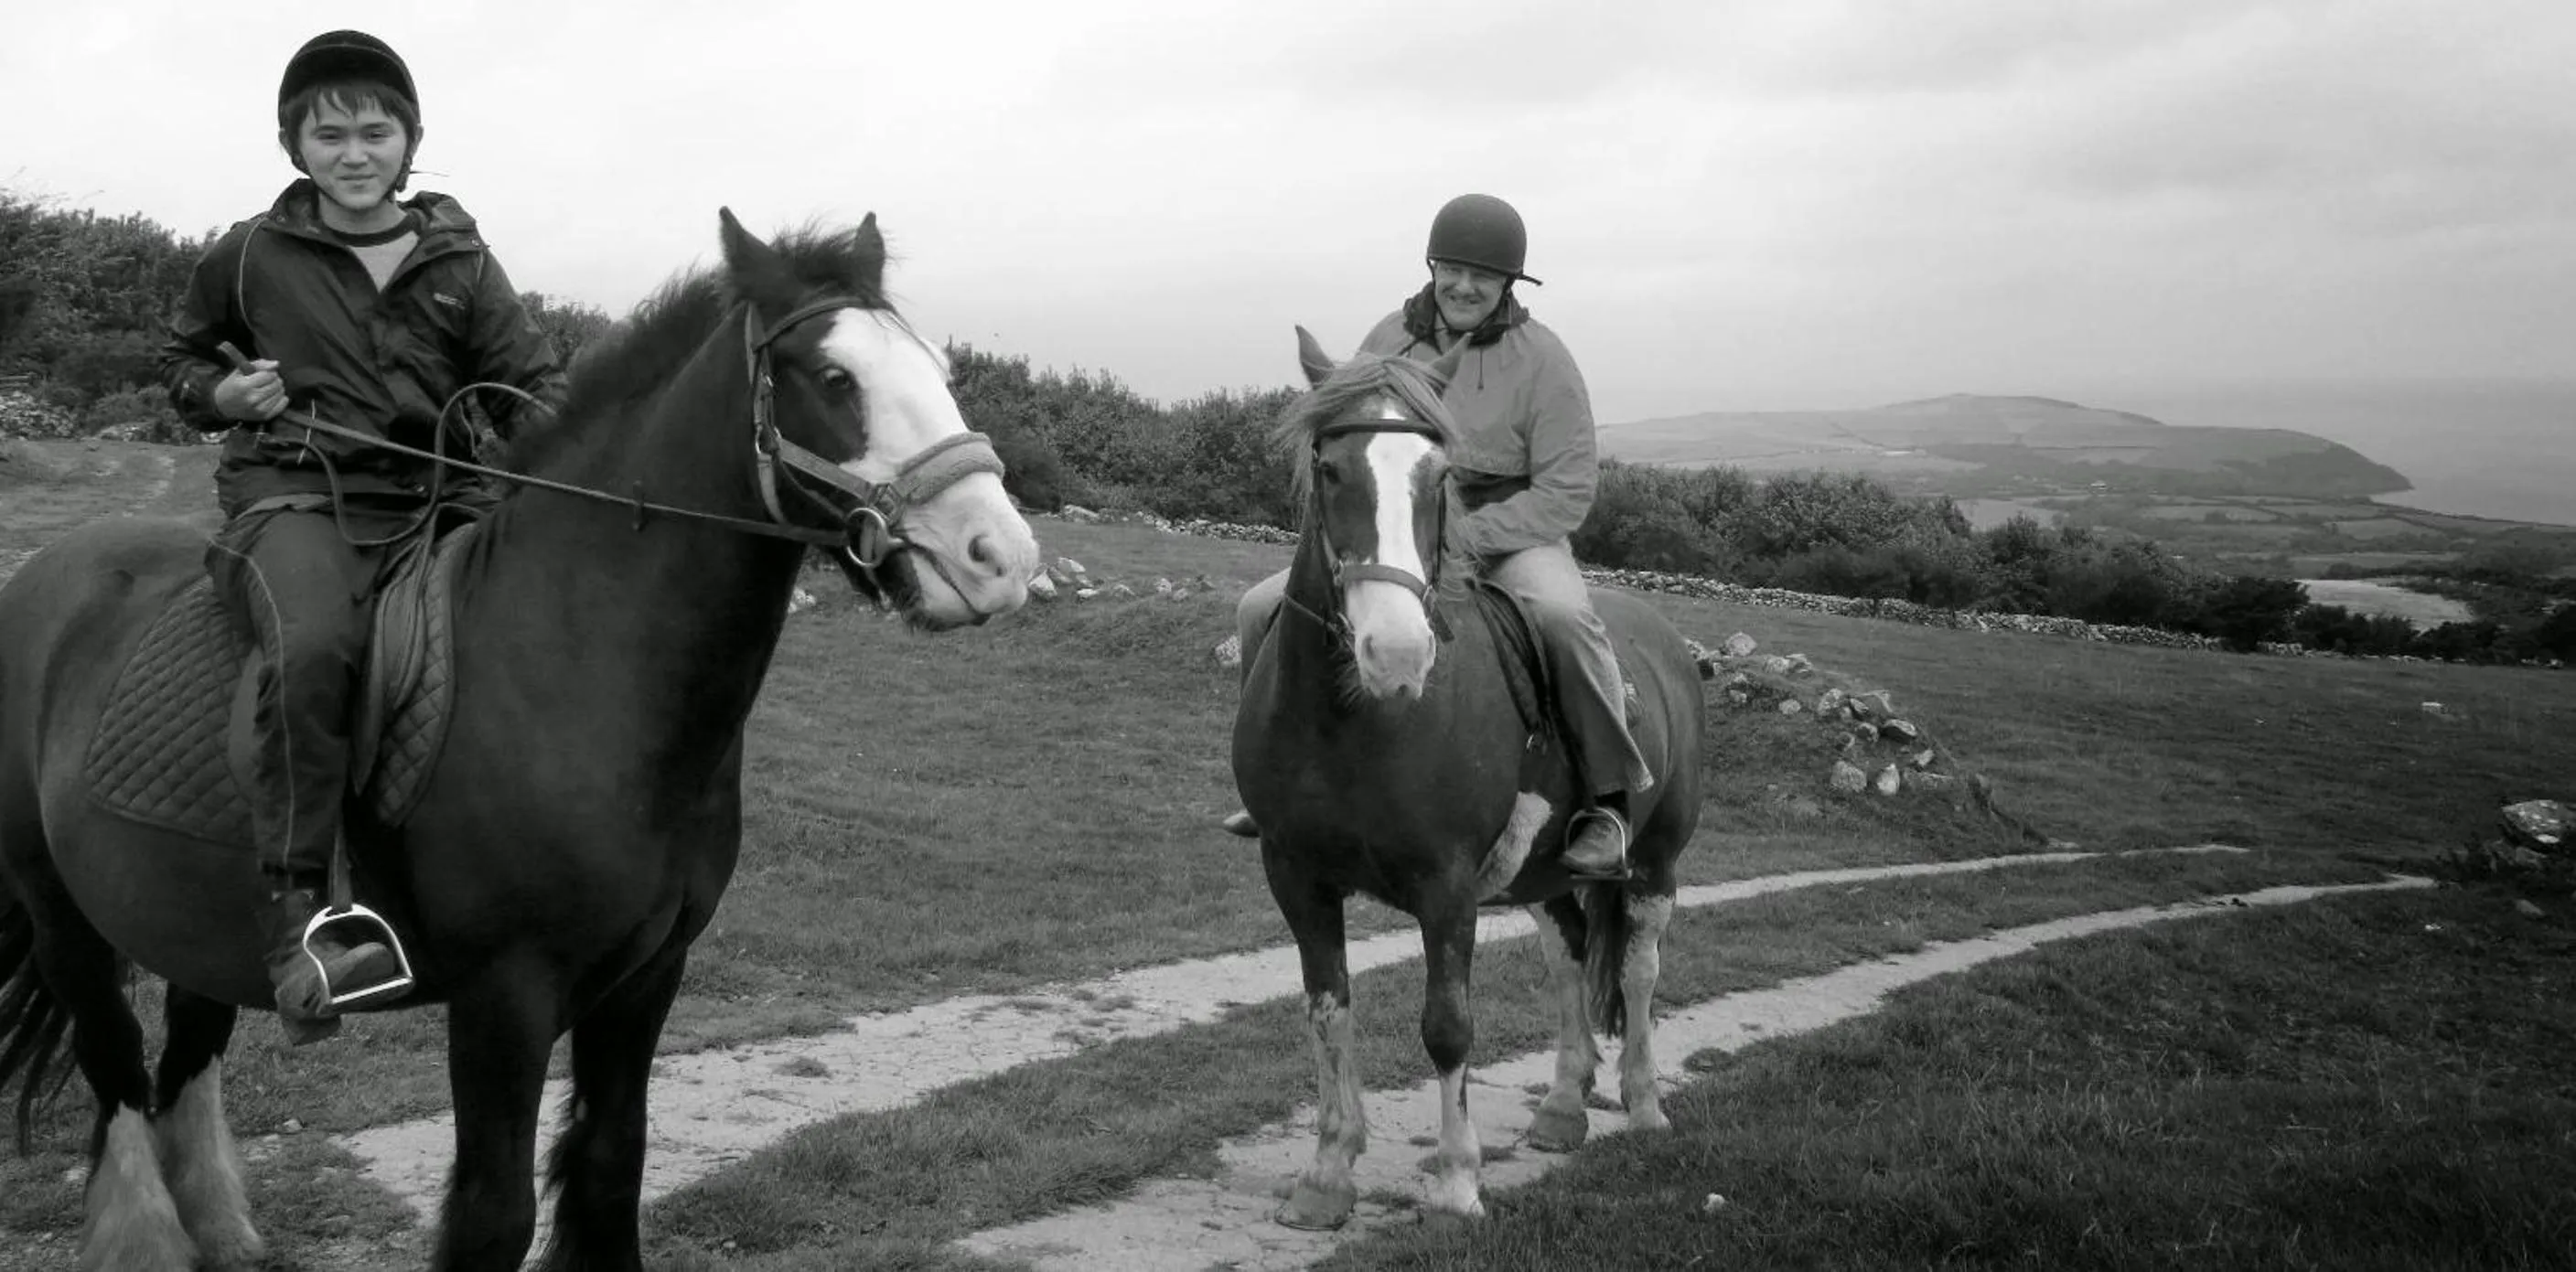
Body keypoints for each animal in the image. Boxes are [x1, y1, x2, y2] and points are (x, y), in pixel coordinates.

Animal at [0, 209, 1039, 1271]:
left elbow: (612, 1163)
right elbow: (494, 1212)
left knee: (186, 1059)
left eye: (938, 367)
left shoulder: (647, 976)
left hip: (184, 921)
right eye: (834, 377)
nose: (1000, 560)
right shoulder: (507, 994)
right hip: (63, 915)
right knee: (118, 1072)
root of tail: (46, 578)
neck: (577, 660)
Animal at [1231, 327, 1703, 1228]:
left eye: (1439, 475)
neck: (1356, 719)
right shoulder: (1294, 874)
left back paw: (1646, 1103)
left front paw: (1455, 1180)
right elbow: (1327, 1011)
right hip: (1547, 873)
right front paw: (1327, 1173)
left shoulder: (1445, 885)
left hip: (1656, 862)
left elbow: (1447, 1025)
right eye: (1329, 466)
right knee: (1569, 959)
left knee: (1639, 968)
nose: (1397, 654)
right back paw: (1561, 1108)